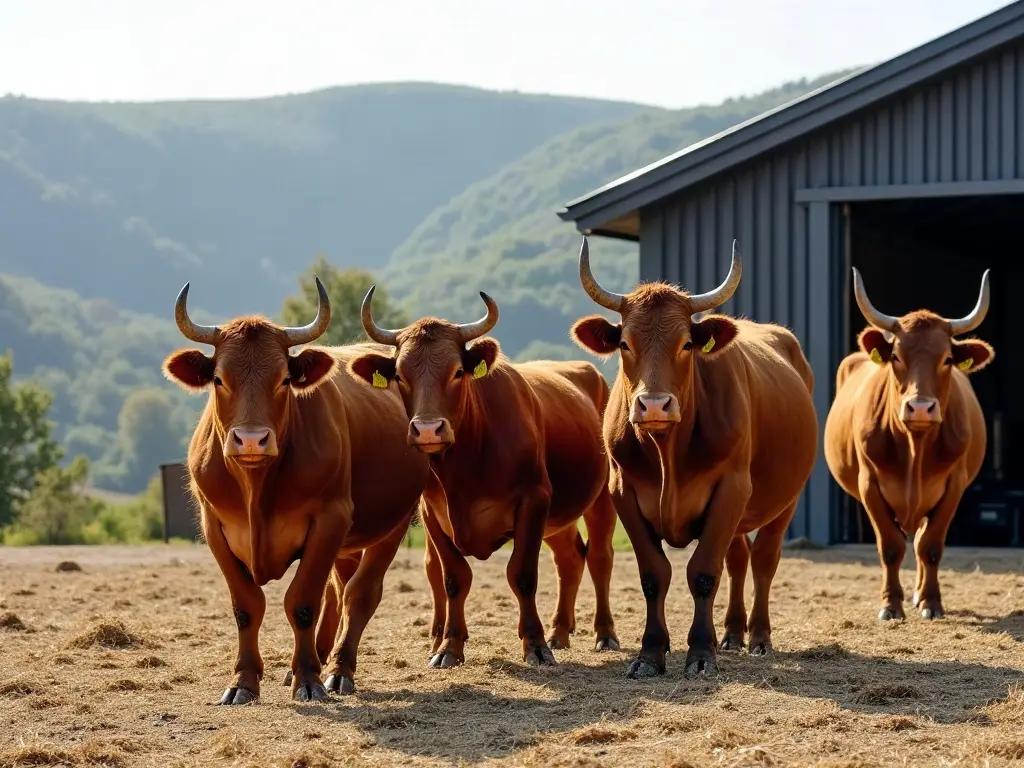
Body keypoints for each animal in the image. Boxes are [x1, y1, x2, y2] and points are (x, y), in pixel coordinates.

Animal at [161, 278, 430, 703]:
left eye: (284, 379)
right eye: (219, 379)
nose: (251, 440)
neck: (257, 488)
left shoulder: (330, 518)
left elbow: (302, 603)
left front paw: (308, 679)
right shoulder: (213, 526)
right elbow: (246, 606)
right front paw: (244, 681)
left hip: (392, 523)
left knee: (358, 594)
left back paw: (337, 670)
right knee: (337, 591)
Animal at [346, 289, 620, 668]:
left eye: (458, 371)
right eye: (400, 375)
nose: (427, 429)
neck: (465, 468)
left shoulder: (534, 500)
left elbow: (522, 574)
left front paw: (535, 645)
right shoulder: (432, 512)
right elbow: (453, 578)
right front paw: (448, 647)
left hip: (601, 499)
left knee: (599, 557)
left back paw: (604, 634)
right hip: (559, 517)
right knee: (569, 559)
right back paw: (559, 632)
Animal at [569, 237, 818, 680]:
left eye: (686, 344)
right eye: (624, 343)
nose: (653, 405)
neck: (667, 452)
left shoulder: (731, 487)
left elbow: (703, 573)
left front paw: (701, 653)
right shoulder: (623, 491)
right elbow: (654, 574)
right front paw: (651, 653)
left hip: (786, 498)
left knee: (763, 560)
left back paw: (758, 637)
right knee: (738, 558)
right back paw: (732, 634)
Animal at [823, 268, 993, 622]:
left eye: (947, 359)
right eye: (896, 356)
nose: (920, 407)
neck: (915, 447)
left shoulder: (953, 487)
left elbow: (930, 546)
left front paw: (930, 602)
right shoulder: (869, 486)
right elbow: (891, 547)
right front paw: (890, 605)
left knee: (919, 541)